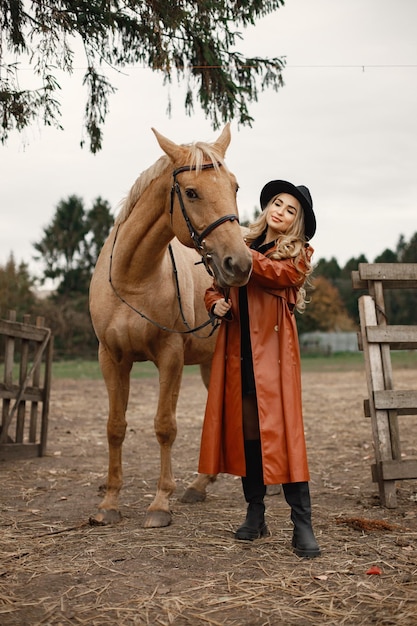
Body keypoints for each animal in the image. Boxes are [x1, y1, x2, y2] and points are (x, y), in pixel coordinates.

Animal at [88, 124, 250, 524]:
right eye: (191, 192)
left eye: (234, 187)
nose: (239, 264)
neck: (135, 279)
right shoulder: (111, 358)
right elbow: (115, 427)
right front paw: (109, 503)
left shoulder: (170, 358)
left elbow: (165, 426)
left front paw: (161, 503)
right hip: (210, 365)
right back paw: (198, 486)